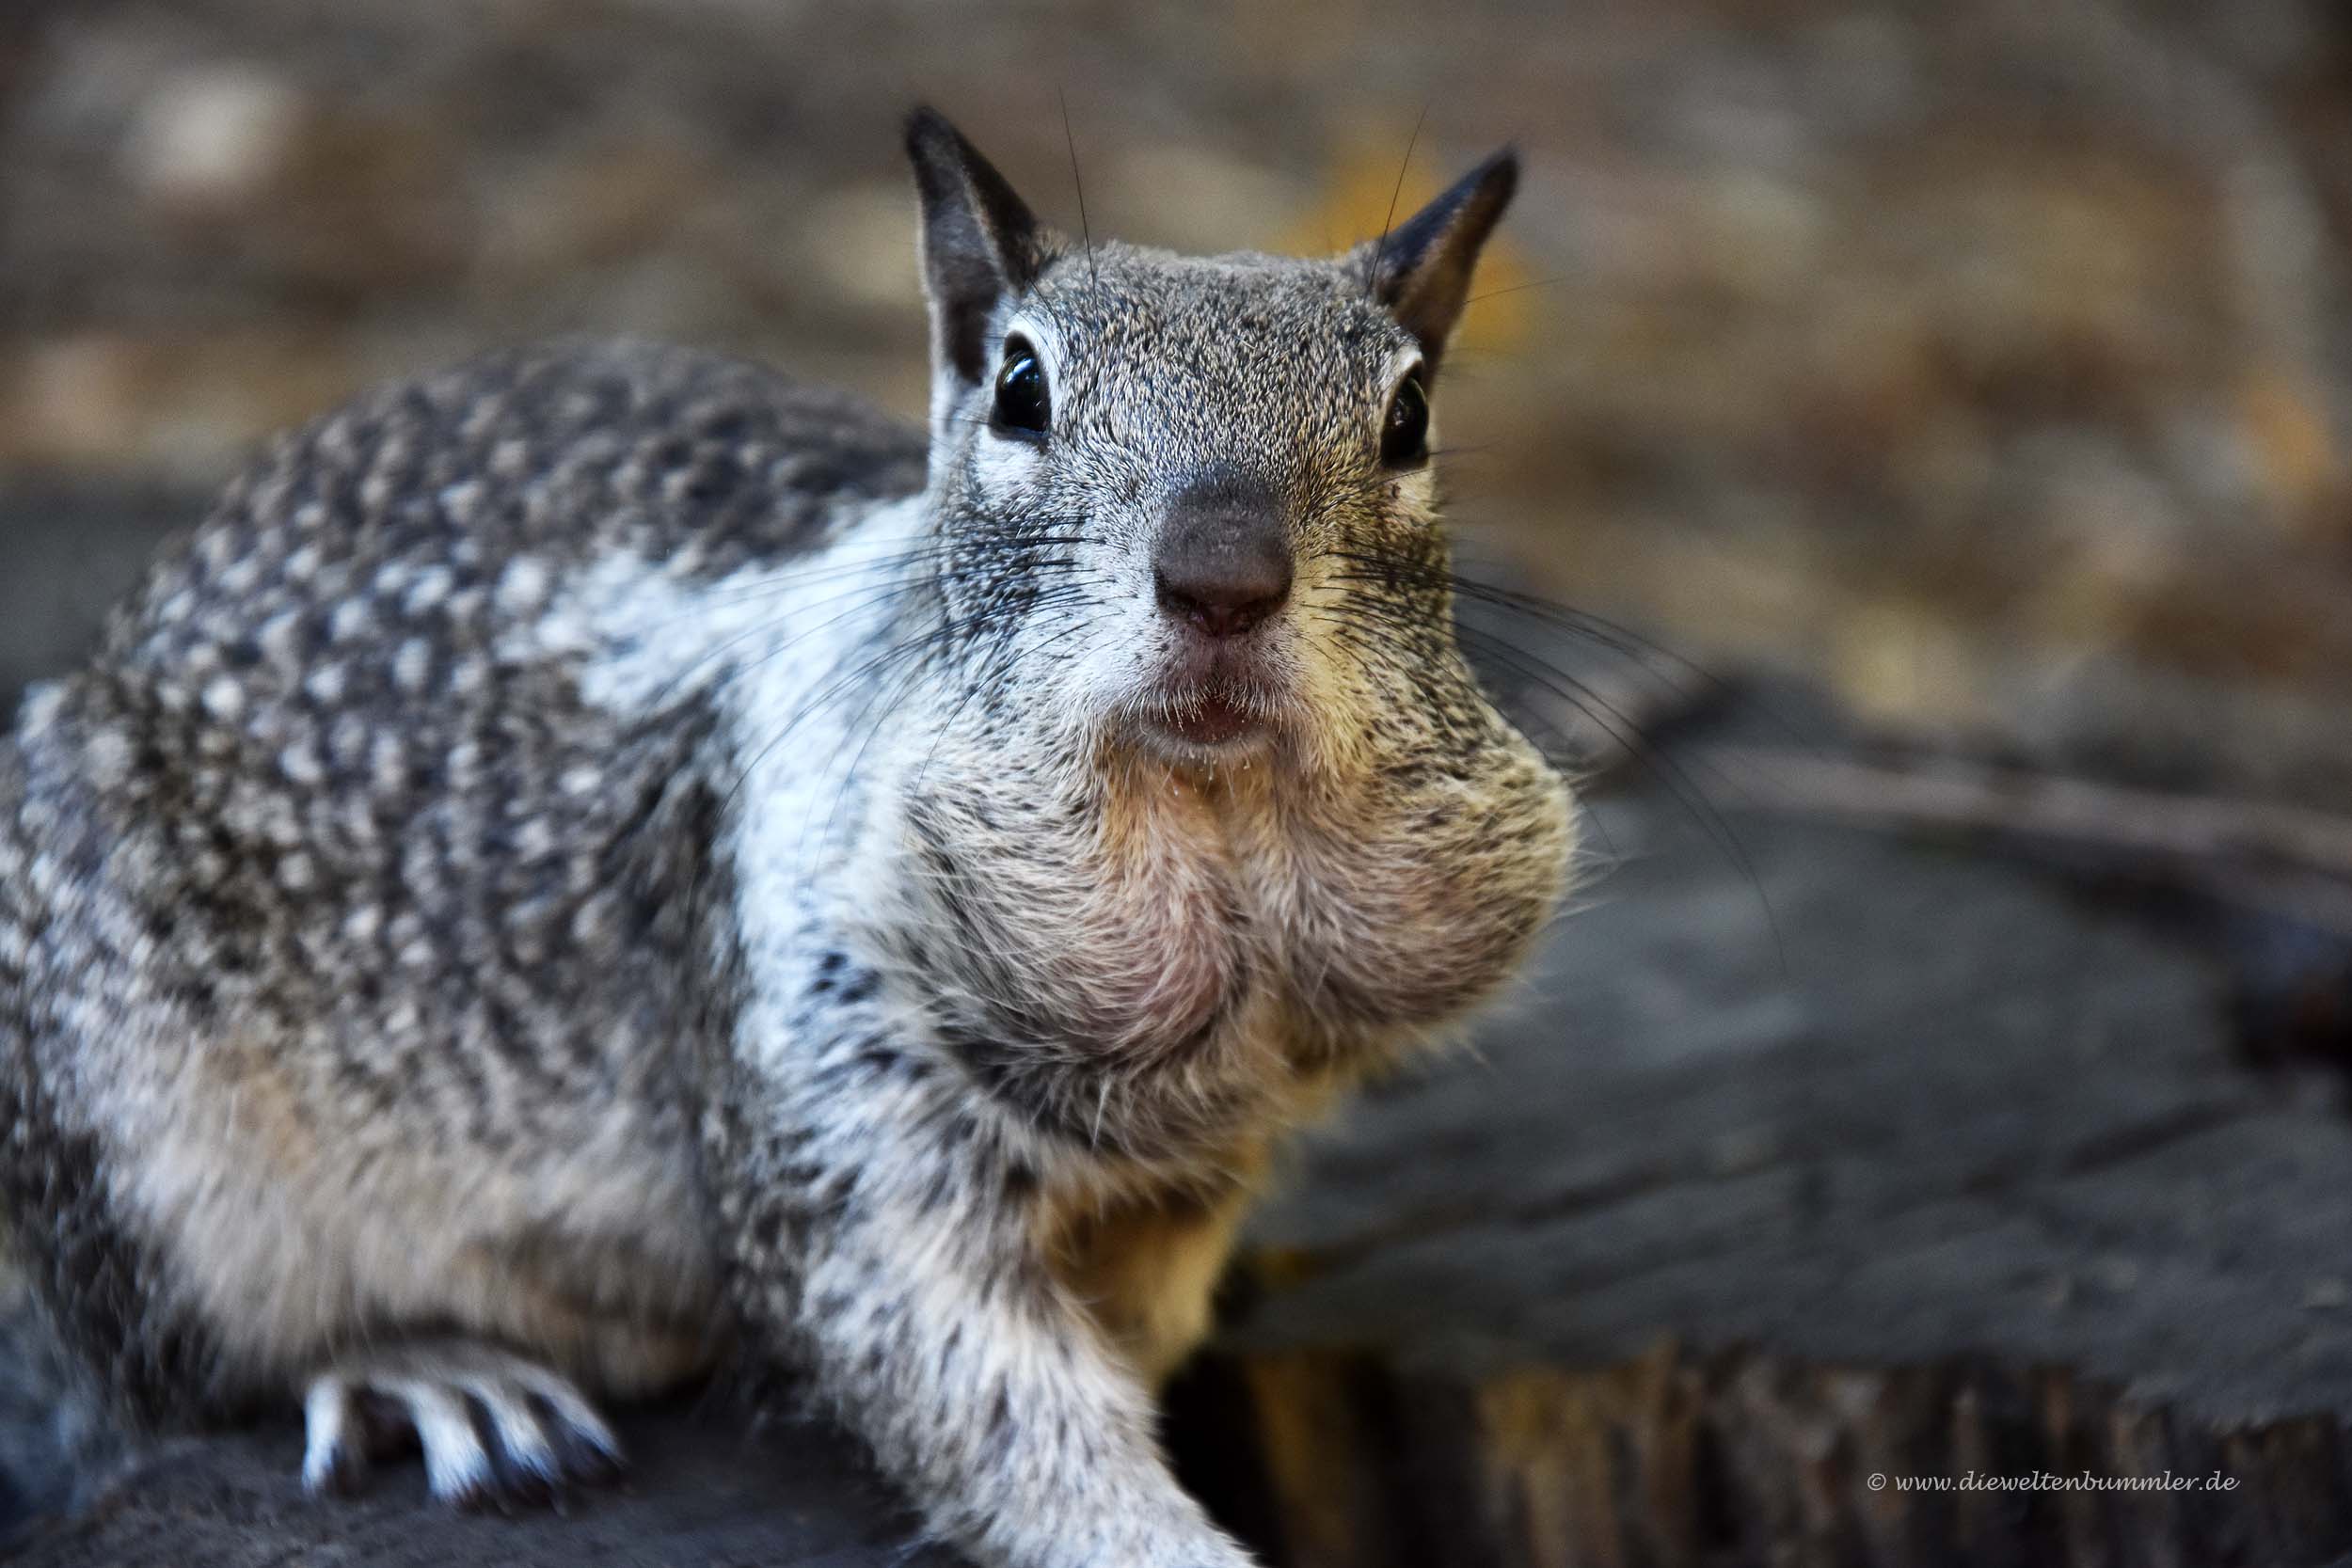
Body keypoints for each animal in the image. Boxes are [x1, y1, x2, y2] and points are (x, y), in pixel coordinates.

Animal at [0, 113, 1581, 1568]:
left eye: (1411, 413)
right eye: (1020, 386)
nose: (1223, 577)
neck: (1215, 839)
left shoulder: (1193, 1186)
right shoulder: (824, 1083)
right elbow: (983, 1400)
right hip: (126, 1143)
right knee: (170, 1375)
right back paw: (428, 1369)